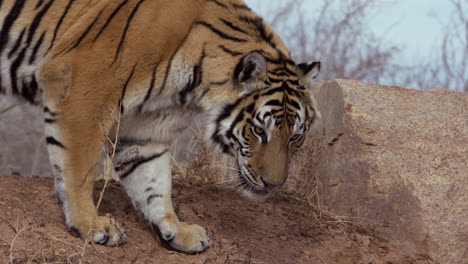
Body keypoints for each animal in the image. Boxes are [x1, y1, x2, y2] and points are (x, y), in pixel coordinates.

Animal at [0, 0, 320, 255]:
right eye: (259, 131)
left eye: (295, 138)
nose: (273, 186)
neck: (192, 83)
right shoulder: (81, 91)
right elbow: (79, 169)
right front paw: (90, 225)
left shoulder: (145, 131)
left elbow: (153, 183)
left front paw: (178, 232)